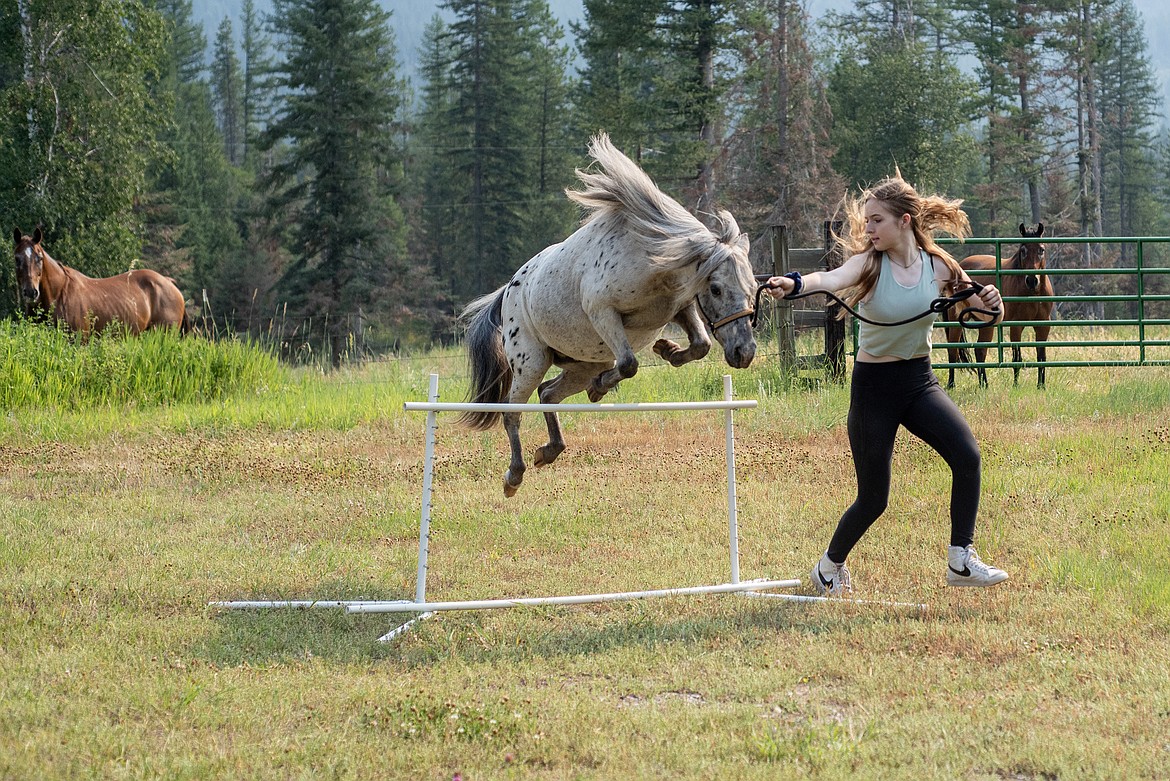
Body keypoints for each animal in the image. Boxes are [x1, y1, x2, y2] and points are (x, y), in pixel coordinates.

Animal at [945, 222, 1057, 388]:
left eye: (1041, 250)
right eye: (1023, 250)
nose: (1032, 280)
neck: (1033, 293)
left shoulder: (1043, 325)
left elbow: (1041, 356)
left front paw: (1041, 386)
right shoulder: (1016, 325)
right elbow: (1017, 357)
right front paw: (1016, 386)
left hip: (986, 324)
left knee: (980, 351)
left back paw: (984, 385)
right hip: (955, 321)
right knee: (952, 351)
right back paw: (951, 384)